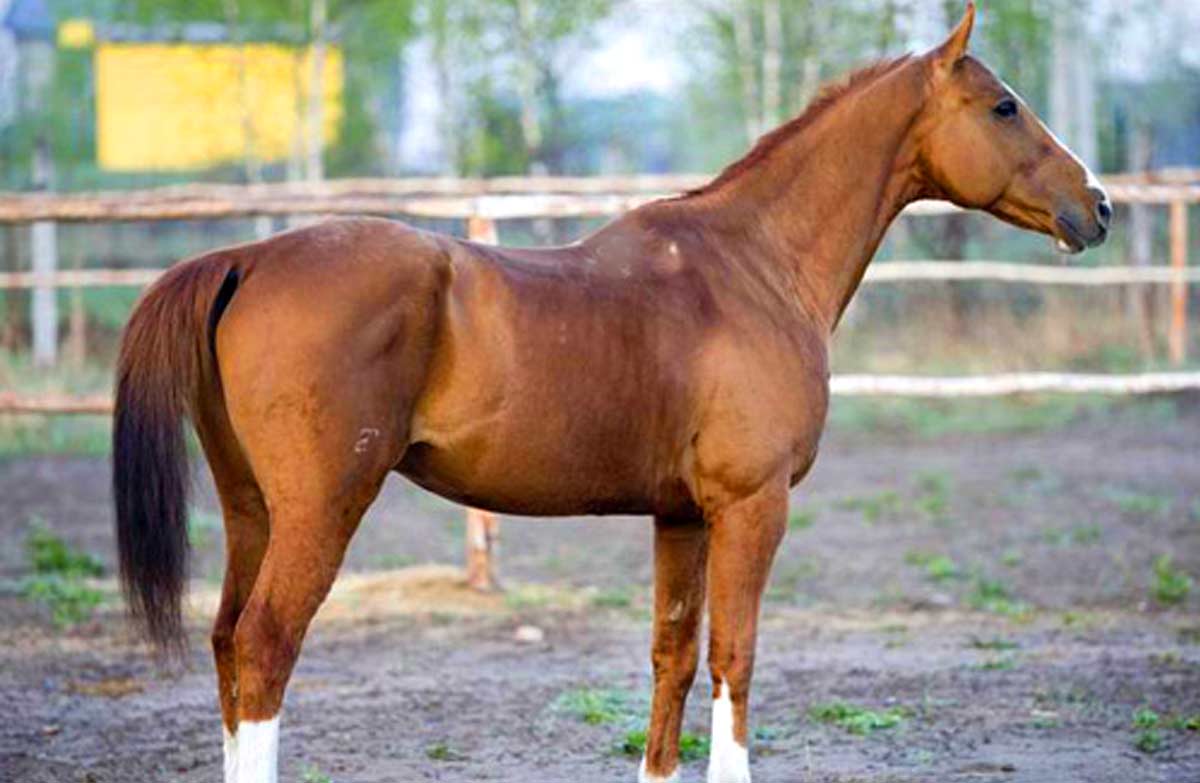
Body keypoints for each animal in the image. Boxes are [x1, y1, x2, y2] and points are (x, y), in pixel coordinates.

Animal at [112, 5, 1110, 782]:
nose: (1096, 206)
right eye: (1004, 105)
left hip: (253, 509)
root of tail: (245, 256)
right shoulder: (751, 506)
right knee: (264, 646)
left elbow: (673, 656)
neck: (752, 266)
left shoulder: (682, 516)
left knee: (226, 643)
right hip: (322, 509)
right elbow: (735, 655)